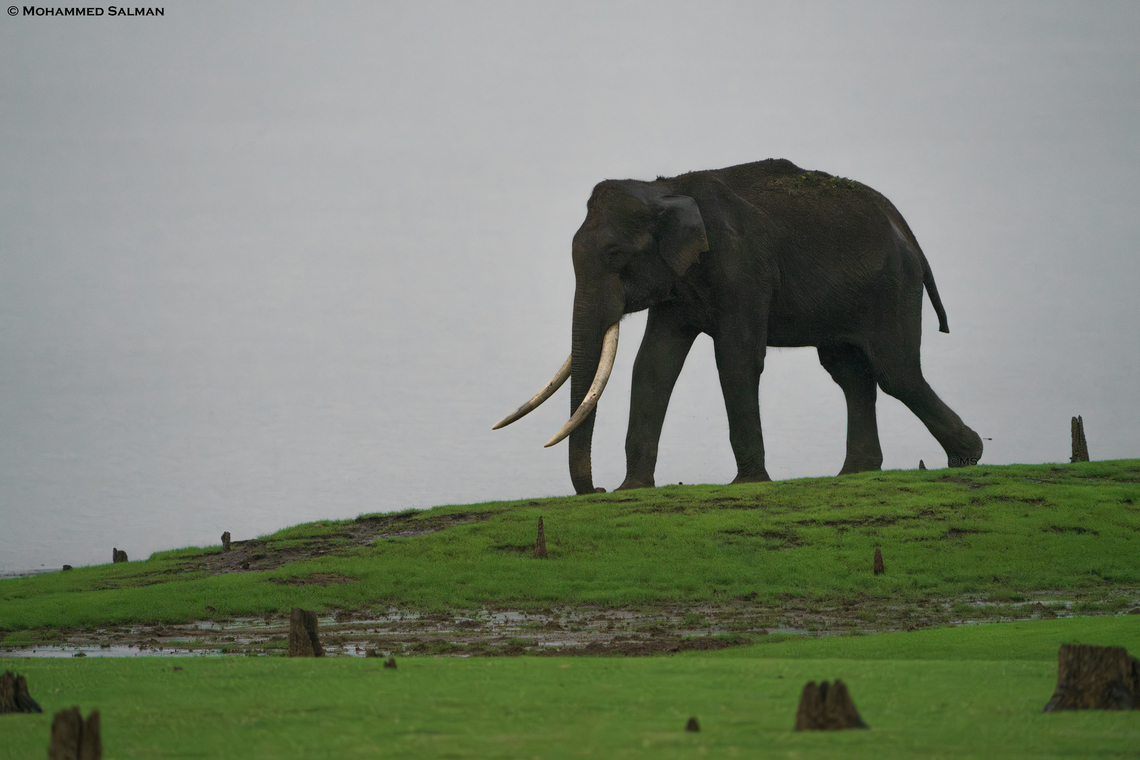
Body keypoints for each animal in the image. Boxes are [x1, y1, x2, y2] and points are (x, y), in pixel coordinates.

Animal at [495, 159, 983, 495]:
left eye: (615, 255)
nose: (595, 489)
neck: (667, 189)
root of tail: (905, 229)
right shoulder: (678, 283)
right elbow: (654, 365)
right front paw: (632, 490)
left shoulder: (742, 268)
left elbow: (736, 359)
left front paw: (749, 484)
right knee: (851, 373)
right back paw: (856, 472)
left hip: (892, 287)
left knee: (895, 372)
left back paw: (968, 456)